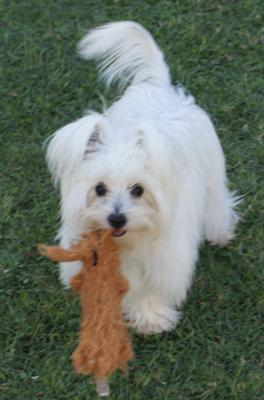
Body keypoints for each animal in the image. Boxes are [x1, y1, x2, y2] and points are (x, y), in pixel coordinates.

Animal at [46, 21, 238, 334]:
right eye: (99, 189)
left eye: (138, 190)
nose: (116, 218)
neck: (128, 243)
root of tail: (161, 88)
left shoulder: (165, 257)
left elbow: (151, 290)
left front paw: (150, 317)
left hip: (213, 176)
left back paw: (220, 232)